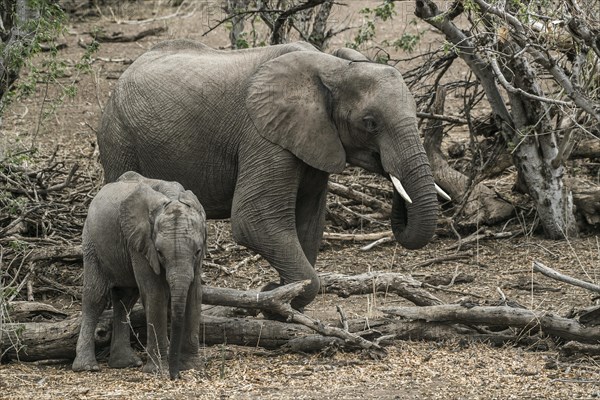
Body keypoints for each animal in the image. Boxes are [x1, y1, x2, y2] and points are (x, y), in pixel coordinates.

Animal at [72, 171, 206, 378]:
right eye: (159, 253)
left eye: (198, 251)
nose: (175, 376)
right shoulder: (141, 244)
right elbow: (155, 293)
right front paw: (158, 370)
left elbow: (194, 294)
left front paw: (191, 366)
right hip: (91, 241)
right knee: (96, 297)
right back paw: (87, 367)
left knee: (125, 299)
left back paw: (125, 363)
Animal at [98, 39, 446, 310]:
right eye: (370, 123)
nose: (389, 171)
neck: (333, 66)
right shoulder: (263, 135)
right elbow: (254, 219)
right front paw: (272, 296)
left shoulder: (312, 140)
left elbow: (308, 222)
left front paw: (280, 296)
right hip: (118, 139)